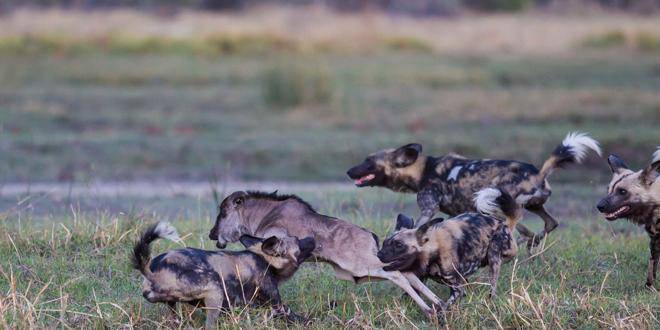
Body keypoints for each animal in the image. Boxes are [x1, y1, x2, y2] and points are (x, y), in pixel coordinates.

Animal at [133, 222, 316, 328]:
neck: (264, 259)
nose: (312, 238)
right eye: (298, 240)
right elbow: (297, 316)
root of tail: (151, 270)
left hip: (173, 305)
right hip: (215, 291)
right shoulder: (278, 306)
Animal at [209, 191, 446, 318]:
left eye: (223, 212)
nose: (212, 234)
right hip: (362, 272)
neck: (267, 214)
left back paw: (429, 309)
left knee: (399, 275)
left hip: (364, 265)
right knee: (408, 274)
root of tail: (371, 237)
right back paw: (440, 304)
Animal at [348, 131, 600, 248]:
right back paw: (530, 244)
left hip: (501, 199)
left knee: (524, 226)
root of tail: (538, 172)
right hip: (524, 205)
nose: (349, 171)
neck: (424, 170)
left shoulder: (428, 209)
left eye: (368, 161)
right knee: (547, 224)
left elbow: (418, 227)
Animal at [376, 189, 520, 308]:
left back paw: (490, 300)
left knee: (492, 287)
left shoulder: (457, 289)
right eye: (384, 243)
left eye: (399, 245)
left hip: (493, 256)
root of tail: (504, 224)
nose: (379, 254)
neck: (433, 251)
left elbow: (444, 306)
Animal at [596, 148, 656, 288]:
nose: (599, 206)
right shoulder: (654, 240)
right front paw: (650, 287)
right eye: (608, 189)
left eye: (622, 191)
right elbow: (652, 268)